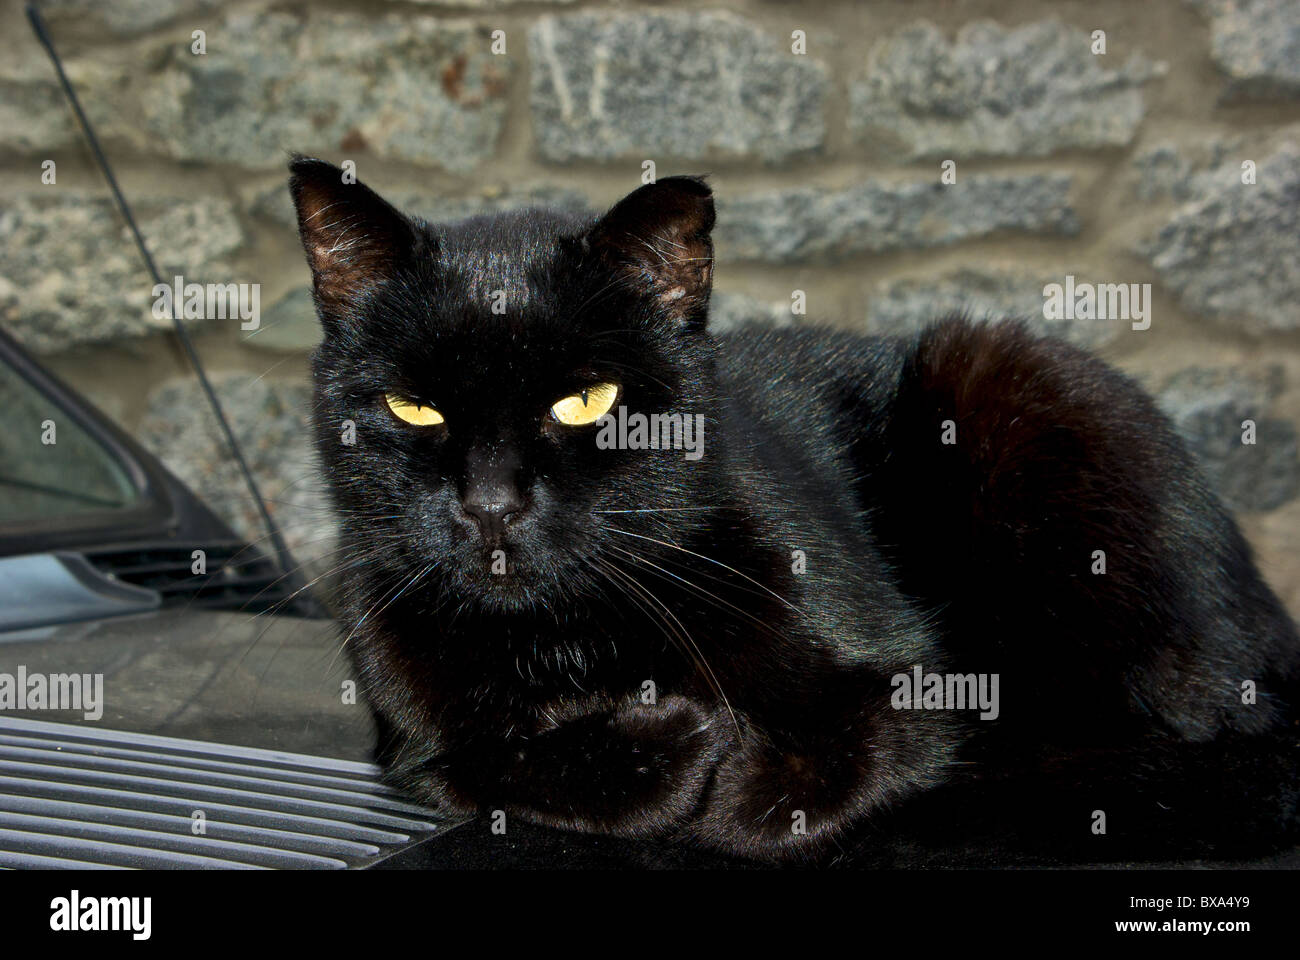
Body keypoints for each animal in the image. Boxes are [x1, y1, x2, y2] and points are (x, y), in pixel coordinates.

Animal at [289, 157, 1294, 858]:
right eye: (413, 407)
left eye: (586, 401)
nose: (490, 505)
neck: (572, 636)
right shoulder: (411, 735)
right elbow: (487, 764)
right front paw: (675, 739)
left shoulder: (914, 679)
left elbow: (824, 767)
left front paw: (734, 771)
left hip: (1002, 382)